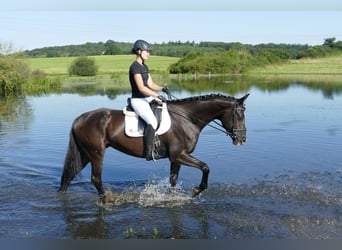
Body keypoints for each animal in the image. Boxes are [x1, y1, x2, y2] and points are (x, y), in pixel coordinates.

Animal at [56, 93, 248, 198]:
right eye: (239, 115)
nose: (242, 139)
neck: (187, 118)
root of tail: (81, 118)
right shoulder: (179, 155)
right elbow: (206, 167)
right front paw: (196, 191)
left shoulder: (176, 158)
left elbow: (173, 180)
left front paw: (172, 198)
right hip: (96, 153)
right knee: (95, 179)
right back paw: (107, 200)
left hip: (85, 154)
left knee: (69, 176)